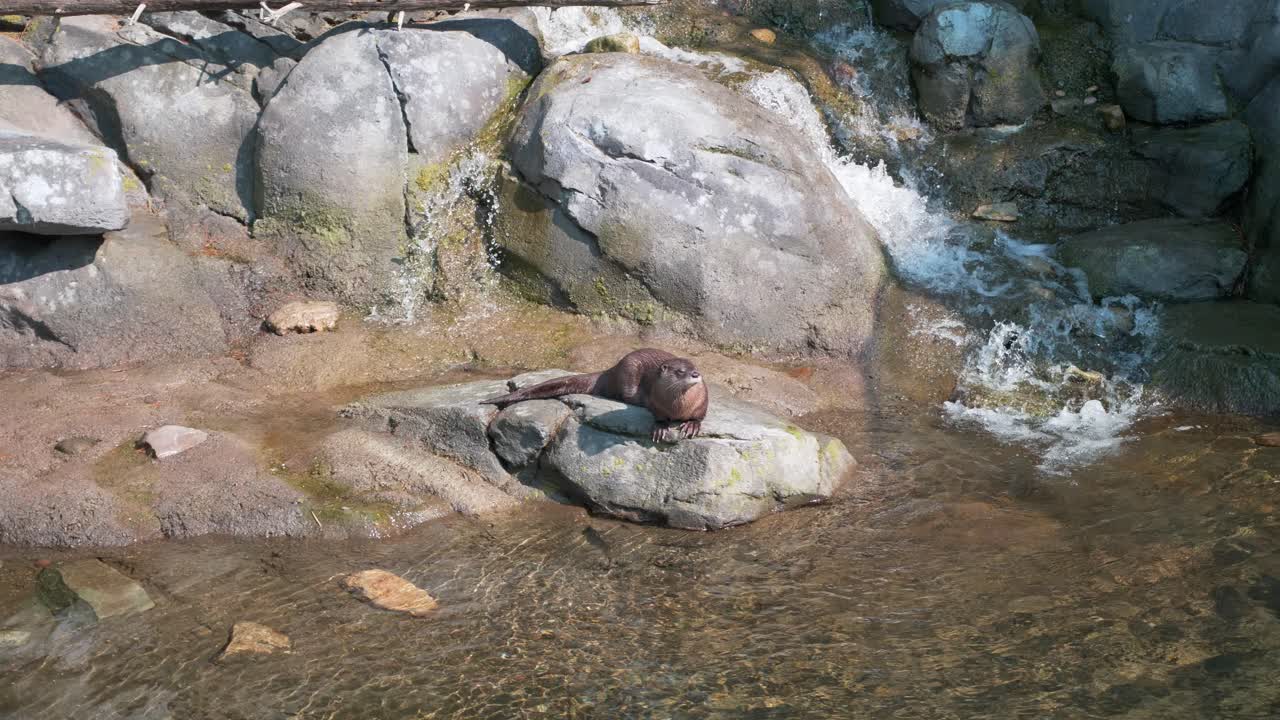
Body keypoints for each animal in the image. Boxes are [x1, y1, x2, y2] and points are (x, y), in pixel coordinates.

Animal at [481, 349, 709, 442]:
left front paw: (692, 424)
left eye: (695, 367)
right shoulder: (656, 402)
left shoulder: (702, 400)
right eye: (680, 371)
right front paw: (661, 427)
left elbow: (700, 415)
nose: (696, 374)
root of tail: (612, 369)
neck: (678, 407)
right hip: (628, 373)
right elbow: (658, 415)